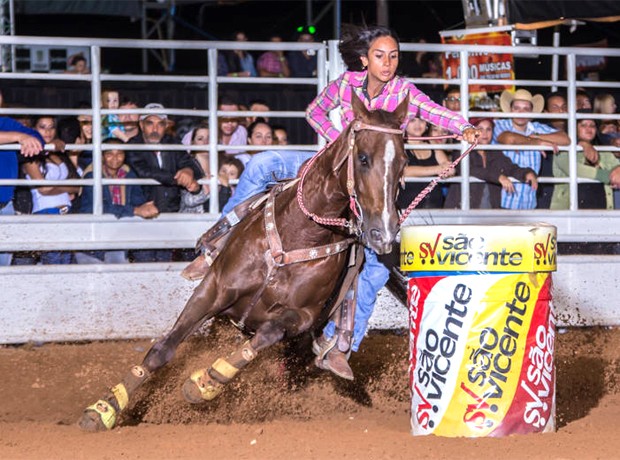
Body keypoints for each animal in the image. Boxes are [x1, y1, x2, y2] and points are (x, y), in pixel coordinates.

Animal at [80, 92, 410, 432]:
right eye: (363, 158)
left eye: (403, 163)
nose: (384, 232)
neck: (299, 236)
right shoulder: (214, 289)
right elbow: (163, 349)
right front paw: (105, 407)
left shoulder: (301, 318)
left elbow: (266, 335)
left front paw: (206, 381)